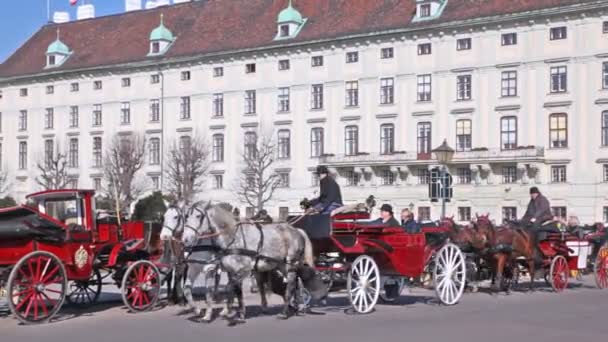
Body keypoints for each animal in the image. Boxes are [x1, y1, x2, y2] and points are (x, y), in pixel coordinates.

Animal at [183, 202, 318, 322]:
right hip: (282, 265)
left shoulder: (238, 270)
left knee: (290, 285)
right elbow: (230, 289)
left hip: (291, 264)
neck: (232, 237)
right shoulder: (230, 270)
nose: (185, 239)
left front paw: (240, 315)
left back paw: (285, 312)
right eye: (186, 217)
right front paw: (227, 312)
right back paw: (295, 307)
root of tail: (297, 230)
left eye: (198, 216)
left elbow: (237, 291)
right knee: (295, 283)